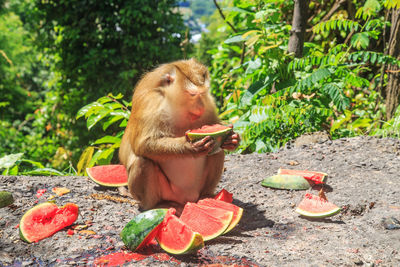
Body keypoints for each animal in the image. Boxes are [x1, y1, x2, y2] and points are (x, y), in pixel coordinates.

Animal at [117, 59, 239, 216]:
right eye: (193, 95)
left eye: (203, 94)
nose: (201, 106)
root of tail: (187, 199)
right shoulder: (151, 102)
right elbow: (143, 144)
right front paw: (188, 146)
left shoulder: (209, 104)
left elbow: (215, 124)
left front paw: (233, 139)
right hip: (168, 192)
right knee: (142, 161)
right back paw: (156, 205)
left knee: (217, 151)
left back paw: (206, 196)